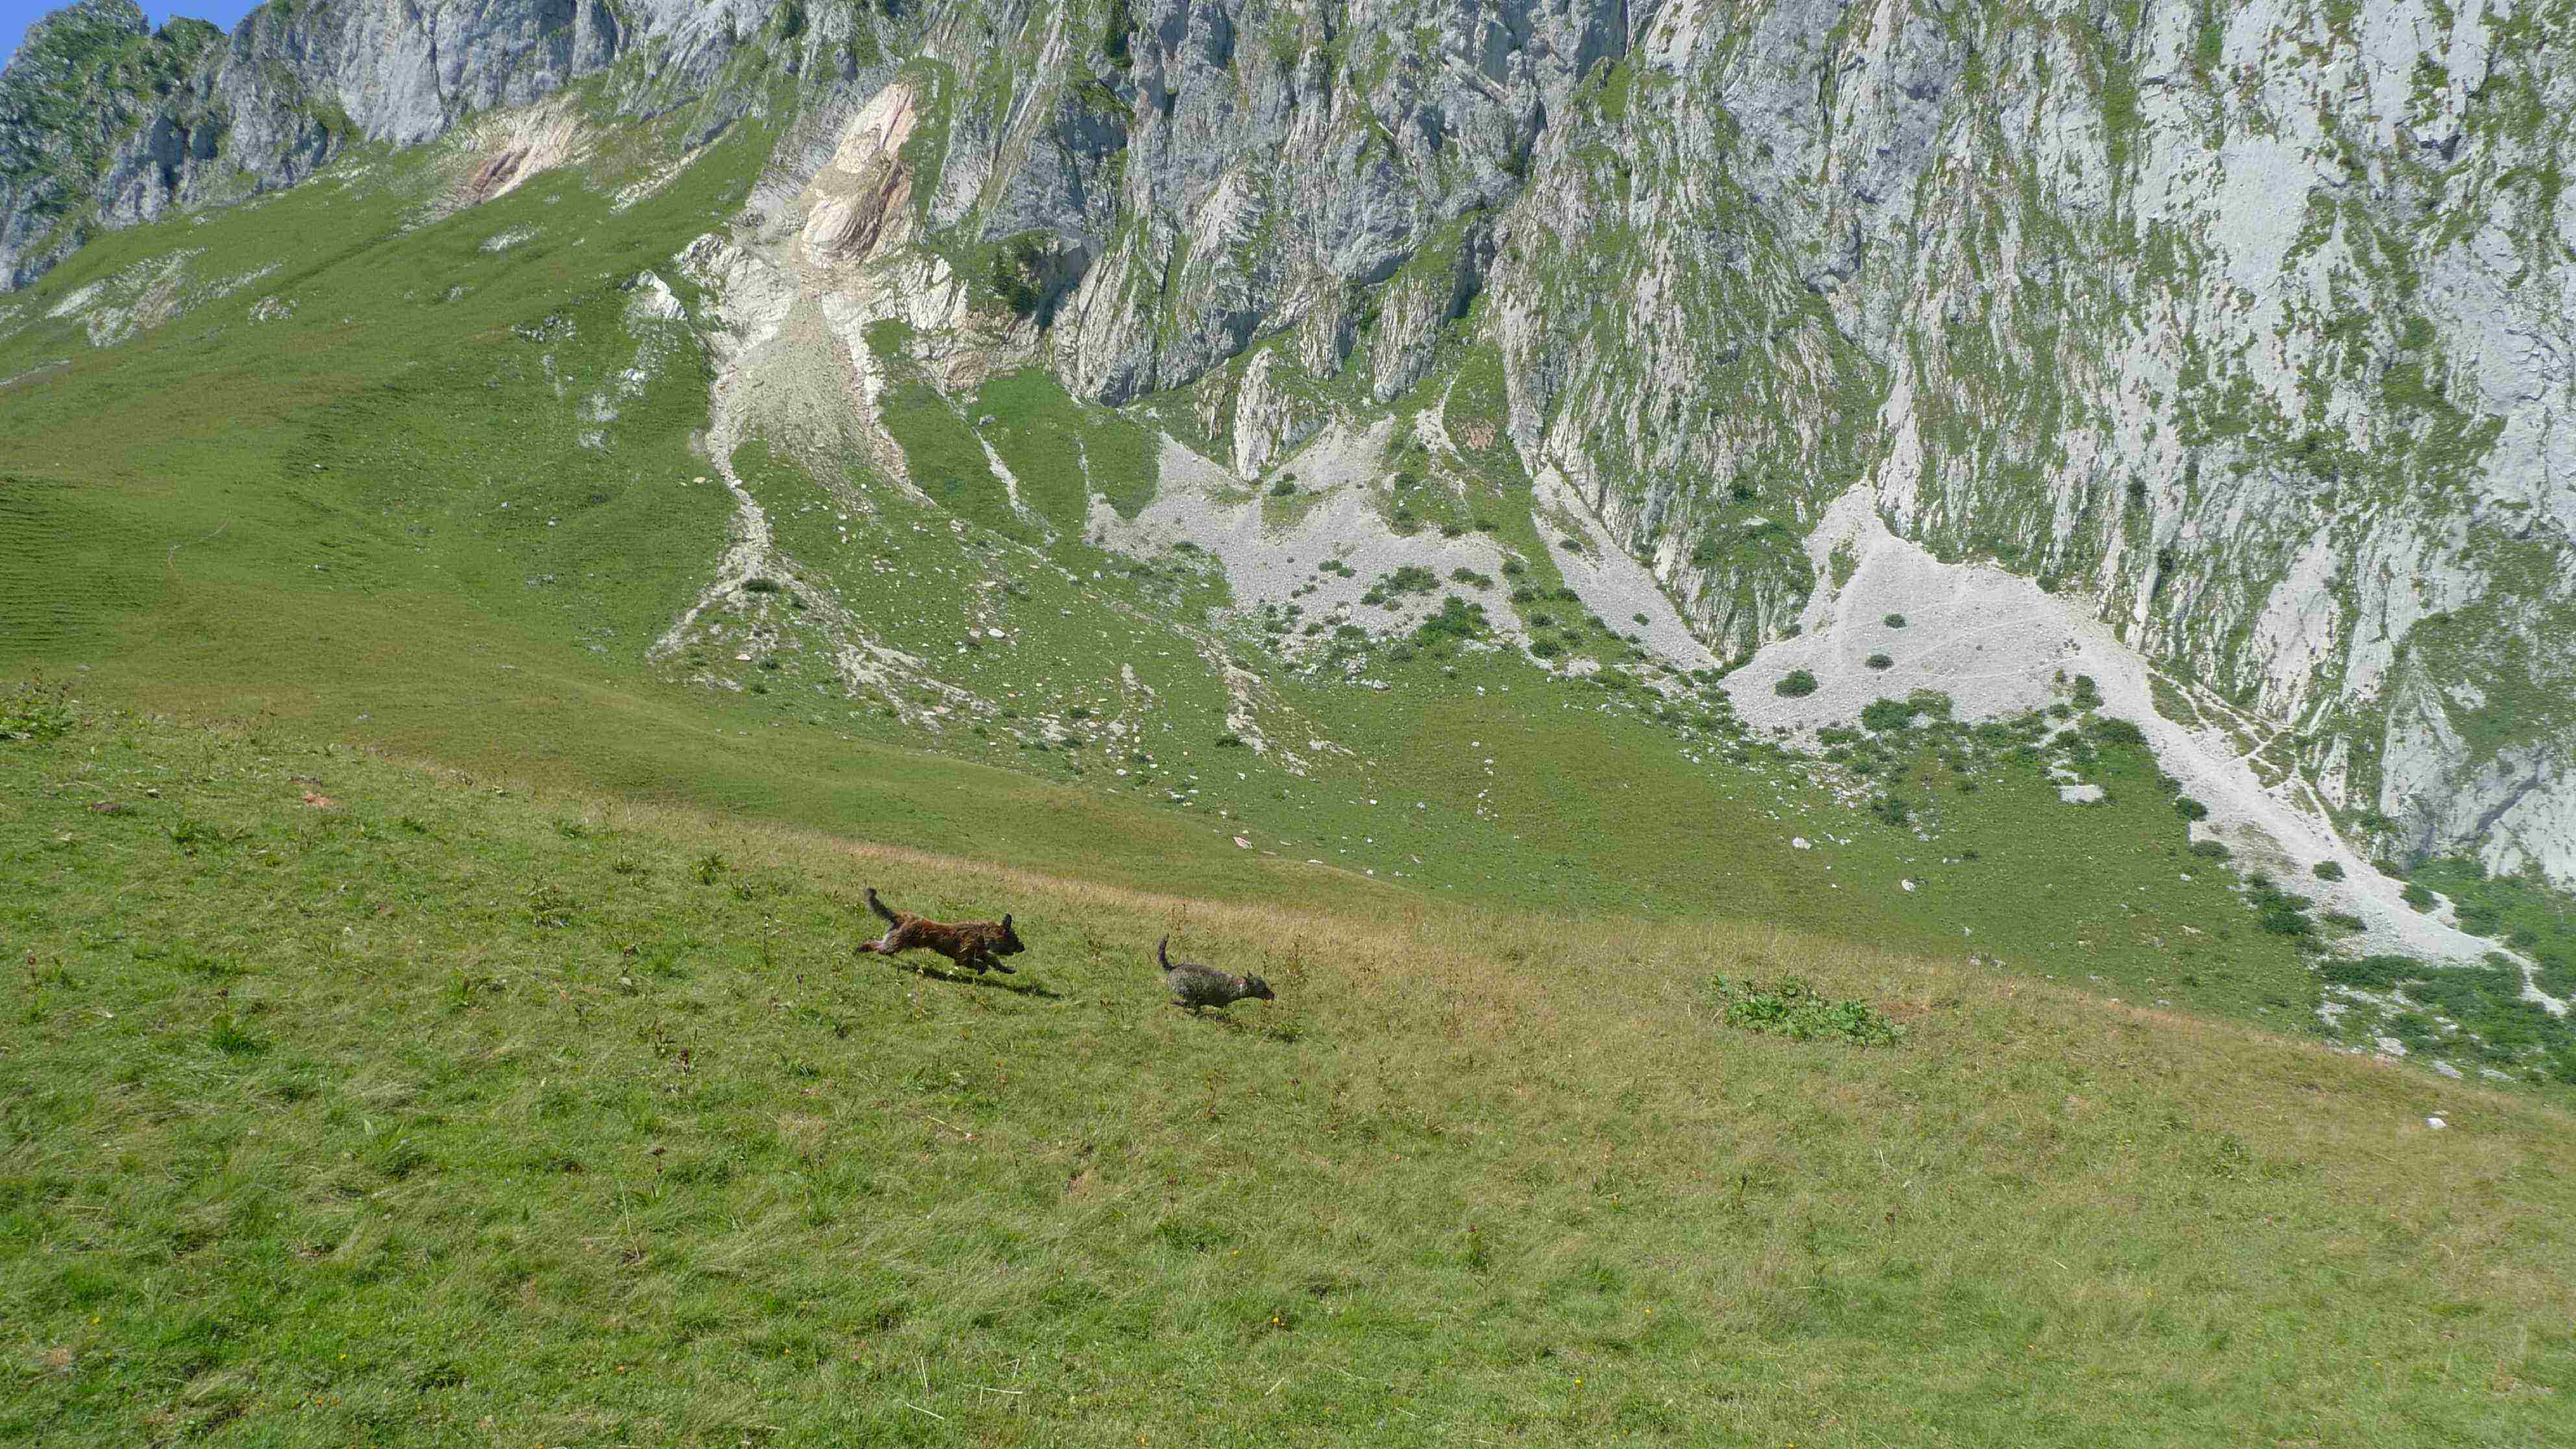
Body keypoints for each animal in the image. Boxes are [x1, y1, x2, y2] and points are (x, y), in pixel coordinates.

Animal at [865, 882, 1025, 969]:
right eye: (1015, 940)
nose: (1023, 948)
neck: (983, 934)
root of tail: (902, 918)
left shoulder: (981, 952)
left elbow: (993, 960)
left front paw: (1007, 969)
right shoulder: (963, 957)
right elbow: (980, 963)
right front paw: (983, 968)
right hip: (895, 943)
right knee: (877, 947)